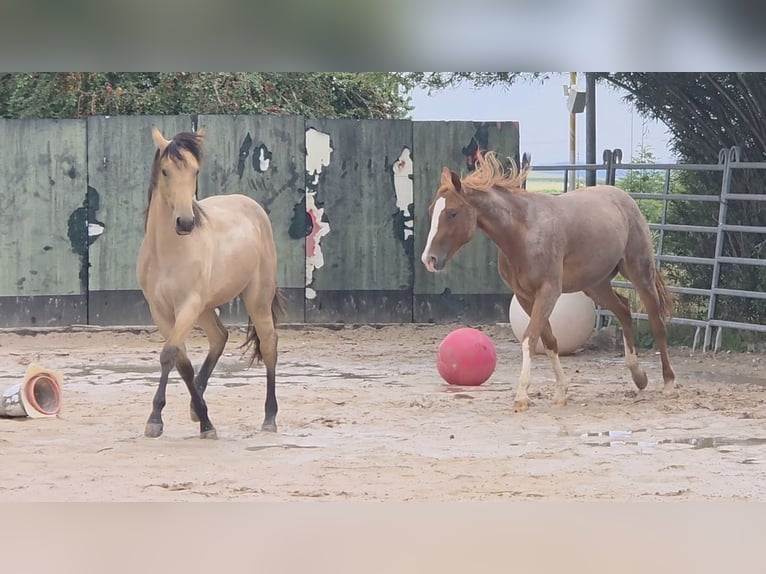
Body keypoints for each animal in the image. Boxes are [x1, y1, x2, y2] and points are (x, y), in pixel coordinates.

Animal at [137, 127, 283, 438]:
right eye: (165, 171)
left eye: (195, 171)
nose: (185, 222)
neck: (167, 251)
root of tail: (253, 206)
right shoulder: (160, 311)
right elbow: (182, 362)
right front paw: (197, 416)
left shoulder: (188, 306)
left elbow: (169, 355)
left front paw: (161, 419)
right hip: (205, 308)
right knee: (220, 336)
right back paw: (197, 405)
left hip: (257, 298)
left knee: (268, 344)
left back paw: (269, 418)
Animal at [420, 151, 676, 411]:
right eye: (431, 210)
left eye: (452, 213)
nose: (429, 259)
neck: (522, 232)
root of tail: (624, 198)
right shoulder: (525, 297)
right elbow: (550, 341)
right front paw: (561, 392)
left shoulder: (548, 292)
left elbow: (530, 338)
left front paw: (522, 395)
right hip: (595, 285)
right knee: (624, 310)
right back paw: (638, 376)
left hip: (639, 271)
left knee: (657, 322)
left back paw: (668, 382)